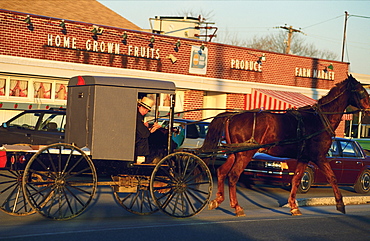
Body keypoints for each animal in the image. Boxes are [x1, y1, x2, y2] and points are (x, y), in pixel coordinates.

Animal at [201, 75, 370, 217]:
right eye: (361, 91)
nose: (368, 108)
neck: (319, 119)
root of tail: (231, 116)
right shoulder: (319, 156)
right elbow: (332, 177)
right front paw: (340, 204)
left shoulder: (304, 157)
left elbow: (296, 179)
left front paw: (294, 206)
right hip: (245, 154)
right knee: (233, 175)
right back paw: (237, 207)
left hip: (235, 153)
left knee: (222, 172)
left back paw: (218, 200)